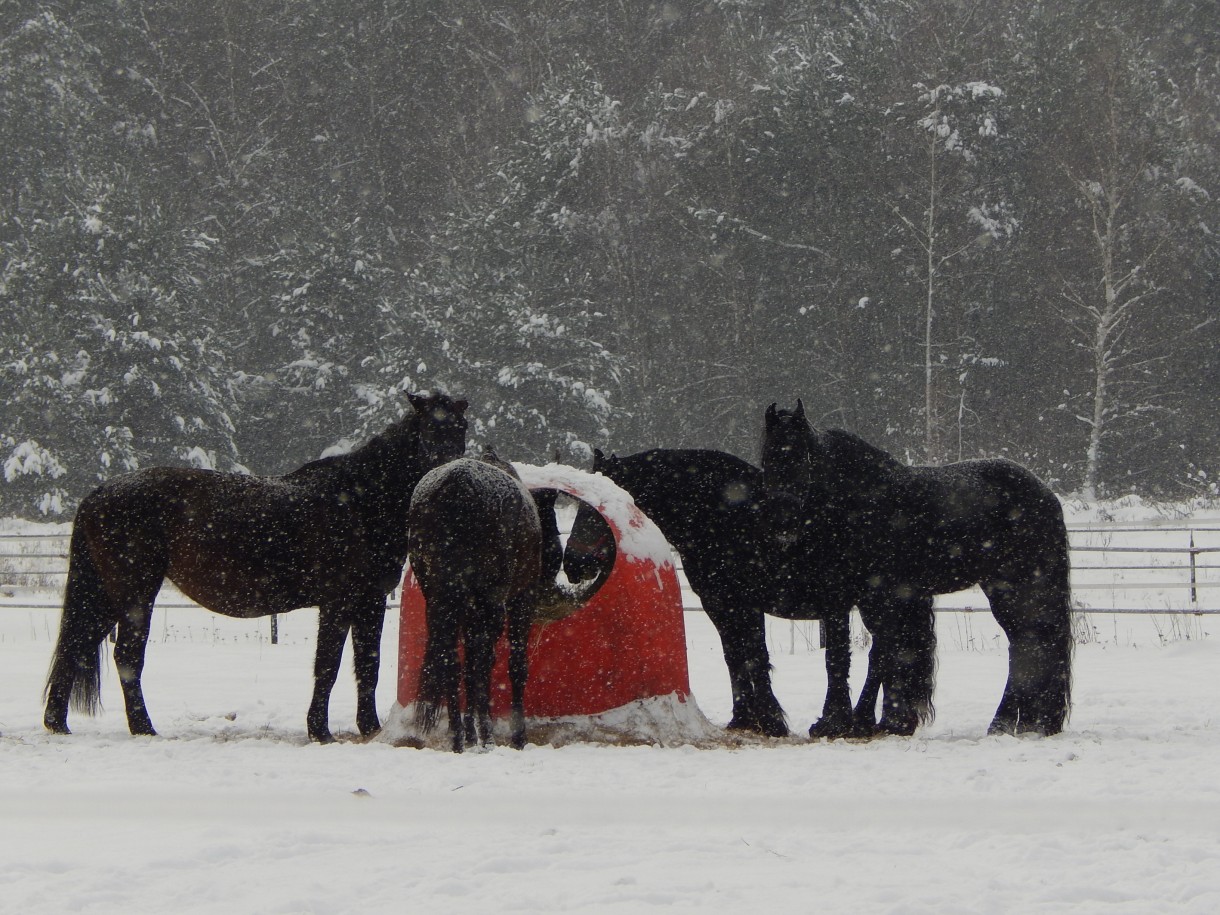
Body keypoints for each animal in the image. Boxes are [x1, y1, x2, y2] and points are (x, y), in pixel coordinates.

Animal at [45, 392, 468, 746]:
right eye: (429, 430)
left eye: (461, 428)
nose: (446, 475)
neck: (360, 498)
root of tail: (100, 492)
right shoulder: (337, 602)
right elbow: (328, 666)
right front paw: (320, 731)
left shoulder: (371, 601)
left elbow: (369, 665)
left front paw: (370, 728)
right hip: (134, 596)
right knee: (125, 658)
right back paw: (143, 728)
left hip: (107, 597)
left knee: (74, 646)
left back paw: (57, 722)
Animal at [407, 448, 546, 751]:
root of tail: (457, 482)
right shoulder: (520, 600)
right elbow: (511, 665)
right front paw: (515, 736)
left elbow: (470, 667)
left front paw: (471, 731)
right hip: (490, 602)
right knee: (480, 662)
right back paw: (482, 735)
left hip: (440, 599)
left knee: (451, 661)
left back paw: (459, 738)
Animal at [566, 448, 902, 741]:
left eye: (605, 504)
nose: (572, 563)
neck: (724, 515)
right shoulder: (719, 604)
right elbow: (735, 656)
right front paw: (743, 718)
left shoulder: (746, 604)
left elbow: (756, 655)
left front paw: (770, 720)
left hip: (877, 603)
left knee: (880, 655)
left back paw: (859, 721)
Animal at [766, 400, 1073, 736]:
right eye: (768, 454)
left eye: (802, 456)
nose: (781, 518)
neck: (863, 502)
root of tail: (1044, 494)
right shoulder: (871, 597)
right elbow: (886, 652)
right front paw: (886, 719)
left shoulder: (879, 595)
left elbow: (883, 653)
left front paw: (869, 720)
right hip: (1006, 587)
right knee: (1028, 643)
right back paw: (1023, 722)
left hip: (1016, 584)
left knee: (1030, 643)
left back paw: (1011, 722)